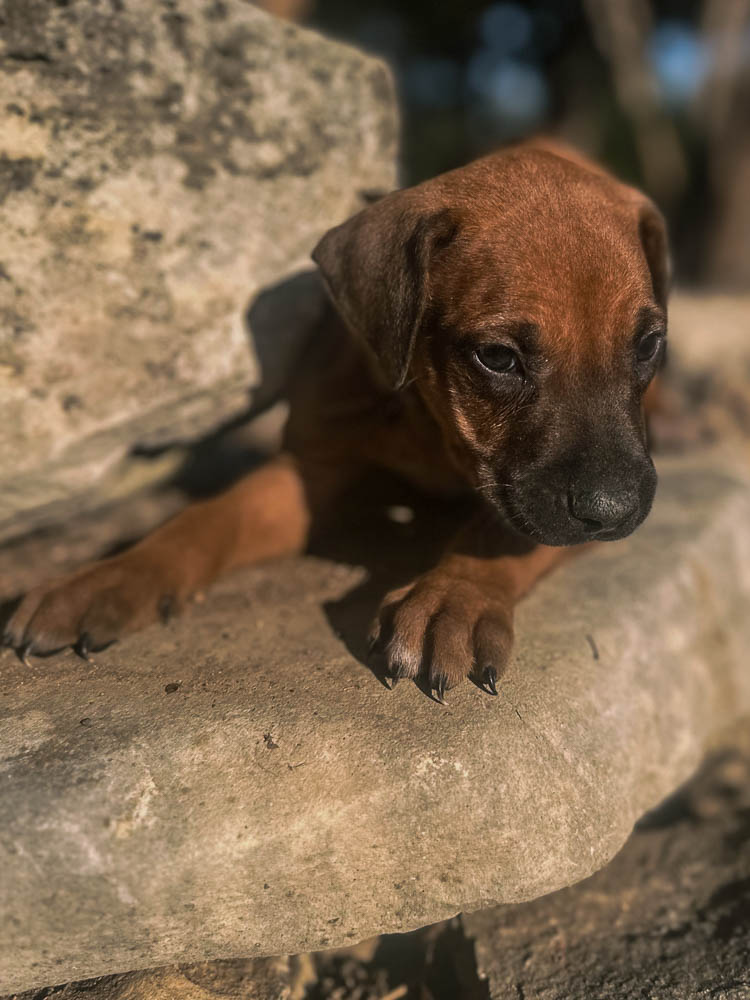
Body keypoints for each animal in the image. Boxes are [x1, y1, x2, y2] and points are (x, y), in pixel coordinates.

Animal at [4, 141, 669, 702]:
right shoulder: (311, 470)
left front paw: (452, 597)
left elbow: (500, 529)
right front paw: (110, 576)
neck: (429, 421)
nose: (614, 511)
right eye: (498, 357)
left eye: (648, 345)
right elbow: (208, 518)